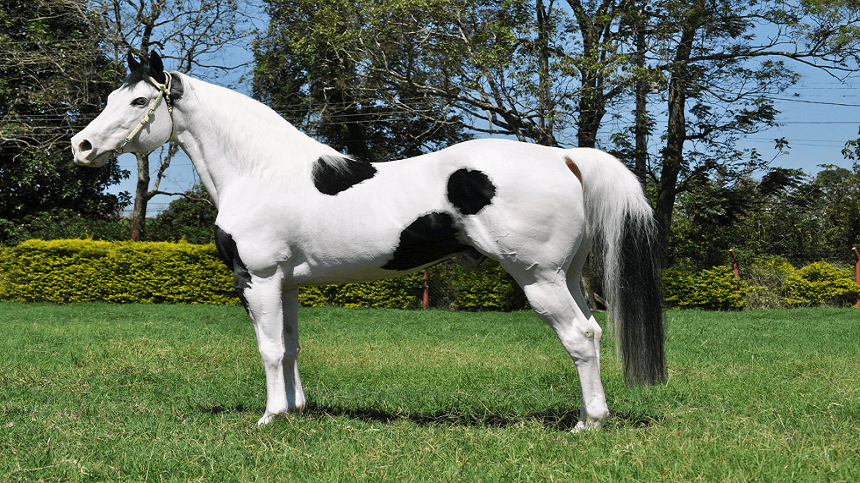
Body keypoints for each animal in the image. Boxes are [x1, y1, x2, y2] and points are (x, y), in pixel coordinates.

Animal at [74, 52, 664, 432]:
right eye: (111, 96)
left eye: (139, 101)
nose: (81, 147)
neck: (260, 172)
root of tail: (564, 156)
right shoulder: (286, 284)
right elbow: (291, 345)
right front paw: (297, 410)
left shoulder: (258, 279)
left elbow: (268, 348)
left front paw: (269, 417)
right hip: (567, 275)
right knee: (591, 330)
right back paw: (587, 418)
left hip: (538, 278)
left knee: (580, 338)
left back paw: (589, 425)